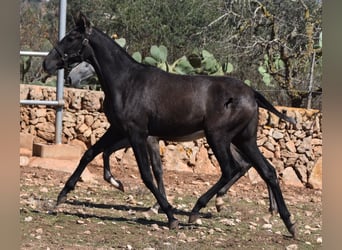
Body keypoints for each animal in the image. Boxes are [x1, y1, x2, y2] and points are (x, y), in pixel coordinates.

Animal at [44, 12, 296, 237]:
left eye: (71, 38)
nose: (47, 63)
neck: (127, 82)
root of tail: (252, 93)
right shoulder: (118, 129)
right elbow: (90, 154)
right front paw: (61, 197)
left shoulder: (137, 133)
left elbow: (147, 173)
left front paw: (169, 214)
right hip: (244, 139)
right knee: (267, 171)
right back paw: (288, 223)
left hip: (219, 137)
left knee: (231, 169)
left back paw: (196, 210)